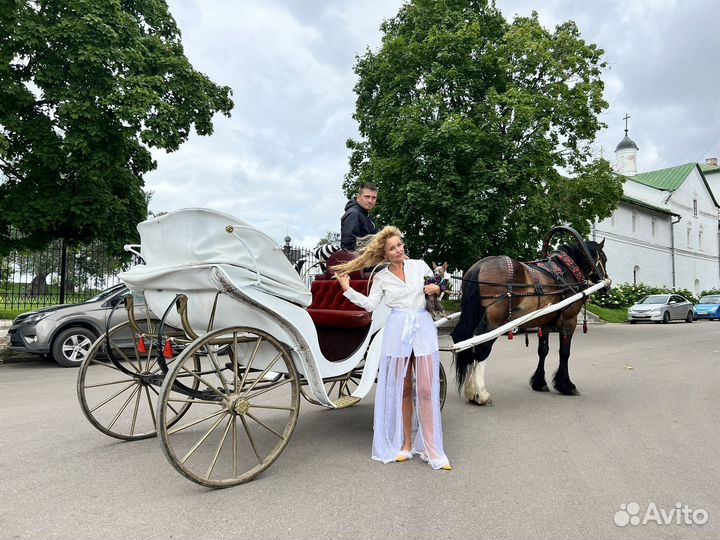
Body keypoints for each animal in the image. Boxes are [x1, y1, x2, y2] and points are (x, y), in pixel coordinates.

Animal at [450, 227, 608, 404]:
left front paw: (540, 382)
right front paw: (567, 385)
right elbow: (564, 352)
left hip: (474, 315)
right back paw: (479, 393)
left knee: (465, 340)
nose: (607, 286)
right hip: (494, 321)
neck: (566, 272)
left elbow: (543, 350)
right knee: (481, 345)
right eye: (604, 258)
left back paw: (471, 390)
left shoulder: (545, 322)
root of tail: (479, 267)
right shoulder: (569, 320)